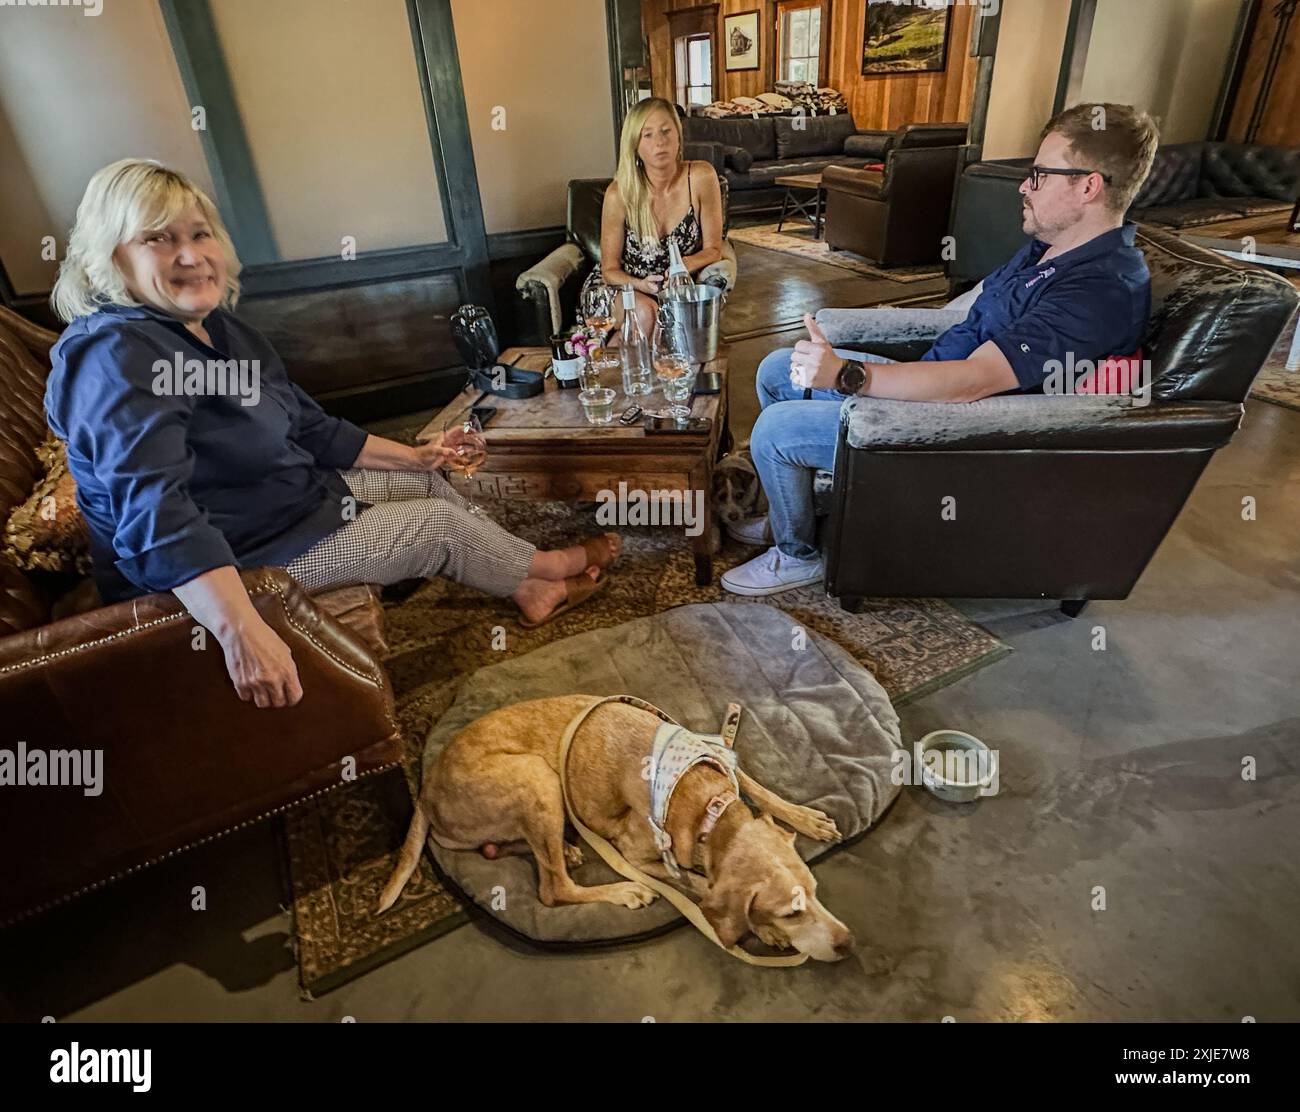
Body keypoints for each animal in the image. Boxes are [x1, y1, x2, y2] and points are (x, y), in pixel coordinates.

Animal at [379, 702, 857, 962]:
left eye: (816, 892)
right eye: (791, 912)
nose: (848, 943)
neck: (707, 808)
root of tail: (427, 786)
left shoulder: (720, 761)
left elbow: (759, 788)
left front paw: (805, 818)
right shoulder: (638, 852)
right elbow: (703, 886)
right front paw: (760, 928)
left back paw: (566, 850)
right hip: (536, 776)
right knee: (552, 889)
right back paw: (623, 890)